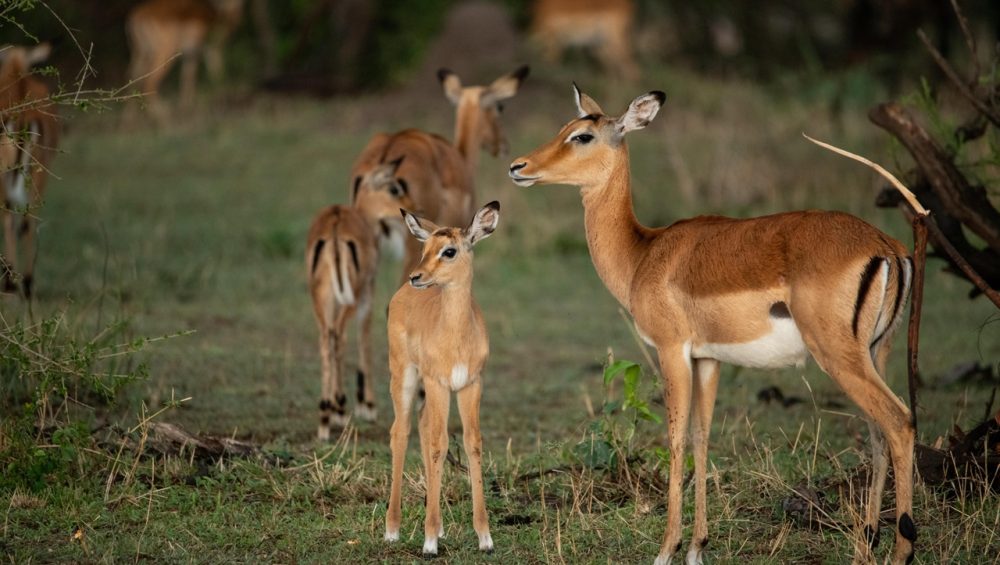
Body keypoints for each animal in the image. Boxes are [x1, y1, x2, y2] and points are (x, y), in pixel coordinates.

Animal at [306, 204, 379, 439]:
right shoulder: (367, 296)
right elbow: (364, 337)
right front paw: (368, 407)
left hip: (321, 299)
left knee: (326, 338)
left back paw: (324, 415)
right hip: (350, 298)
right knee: (339, 335)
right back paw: (334, 410)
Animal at [384, 202, 500, 556]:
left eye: (449, 250)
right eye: (425, 248)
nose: (417, 276)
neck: (457, 336)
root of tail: (400, 294)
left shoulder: (470, 385)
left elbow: (472, 443)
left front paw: (485, 538)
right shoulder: (438, 383)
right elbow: (439, 444)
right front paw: (429, 543)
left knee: (422, 427)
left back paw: (440, 527)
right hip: (404, 377)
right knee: (401, 432)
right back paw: (392, 530)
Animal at [508, 86, 916, 564]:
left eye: (582, 135)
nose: (518, 167)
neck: (642, 254)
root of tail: (886, 245)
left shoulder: (672, 350)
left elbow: (676, 439)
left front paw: (666, 549)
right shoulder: (708, 359)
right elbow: (702, 438)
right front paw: (696, 548)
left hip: (839, 355)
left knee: (899, 420)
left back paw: (902, 550)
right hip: (874, 352)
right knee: (878, 433)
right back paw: (867, 542)